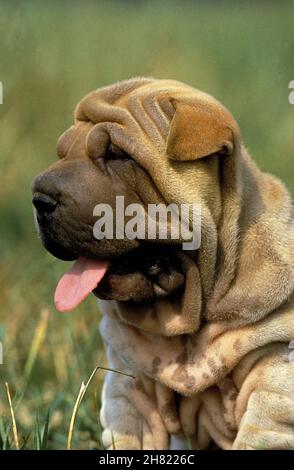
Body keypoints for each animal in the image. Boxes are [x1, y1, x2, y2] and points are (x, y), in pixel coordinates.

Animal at [32, 78, 294, 452]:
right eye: (63, 153)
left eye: (118, 155)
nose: (39, 199)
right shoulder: (129, 390)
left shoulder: (273, 376)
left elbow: (258, 435)